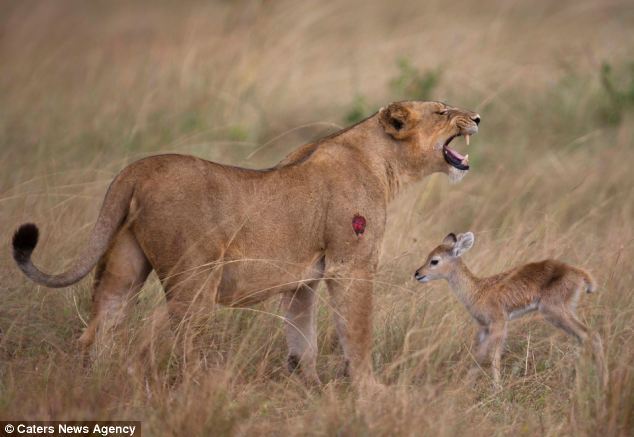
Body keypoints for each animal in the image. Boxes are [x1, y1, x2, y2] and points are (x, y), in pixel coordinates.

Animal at [412, 232, 604, 384]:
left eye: (435, 261)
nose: (417, 273)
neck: (477, 291)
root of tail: (578, 272)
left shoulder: (499, 323)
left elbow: (493, 356)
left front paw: (497, 388)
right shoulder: (483, 327)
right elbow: (478, 355)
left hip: (555, 311)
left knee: (591, 335)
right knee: (585, 338)